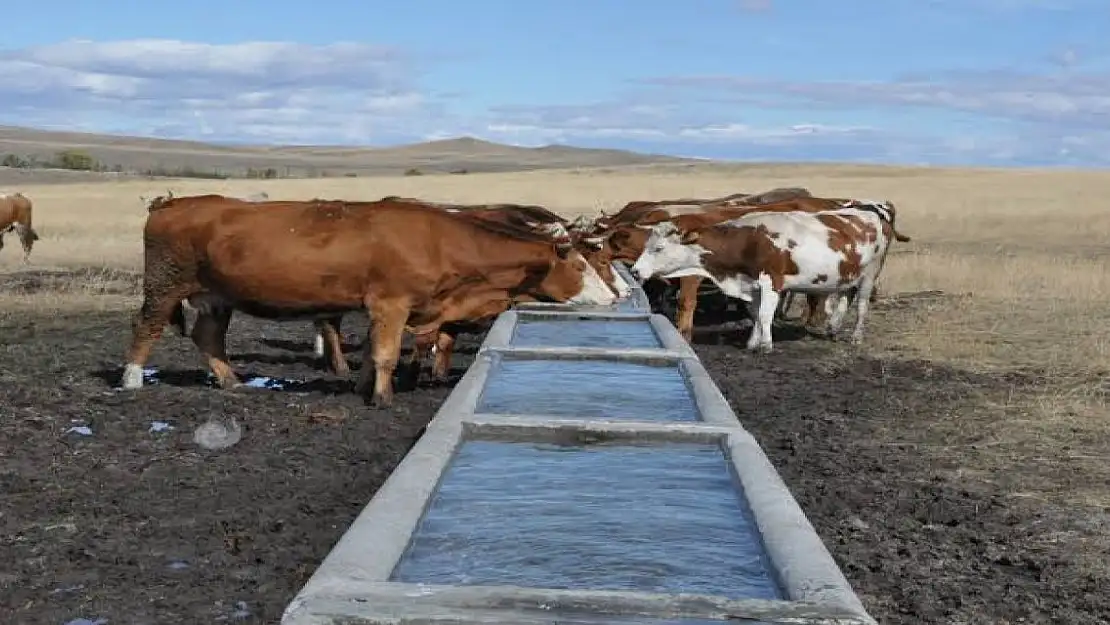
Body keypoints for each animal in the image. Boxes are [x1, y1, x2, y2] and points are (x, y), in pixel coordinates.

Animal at [121, 196, 617, 410]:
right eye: (581, 265)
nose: (615, 297)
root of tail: (172, 202)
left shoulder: (385, 308)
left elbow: (372, 351)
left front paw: (362, 387)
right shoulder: (392, 303)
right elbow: (385, 354)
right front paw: (382, 397)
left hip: (216, 296)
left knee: (208, 337)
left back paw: (231, 382)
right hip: (165, 285)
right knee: (146, 328)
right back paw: (131, 381)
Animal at [630, 199, 905, 353]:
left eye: (659, 248)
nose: (635, 270)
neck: (749, 242)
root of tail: (870, 213)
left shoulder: (772, 282)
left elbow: (764, 314)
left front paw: (766, 345)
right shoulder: (751, 285)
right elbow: (755, 314)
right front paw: (753, 342)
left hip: (870, 275)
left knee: (861, 306)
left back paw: (855, 337)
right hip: (849, 275)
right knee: (846, 298)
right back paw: (833, 329)